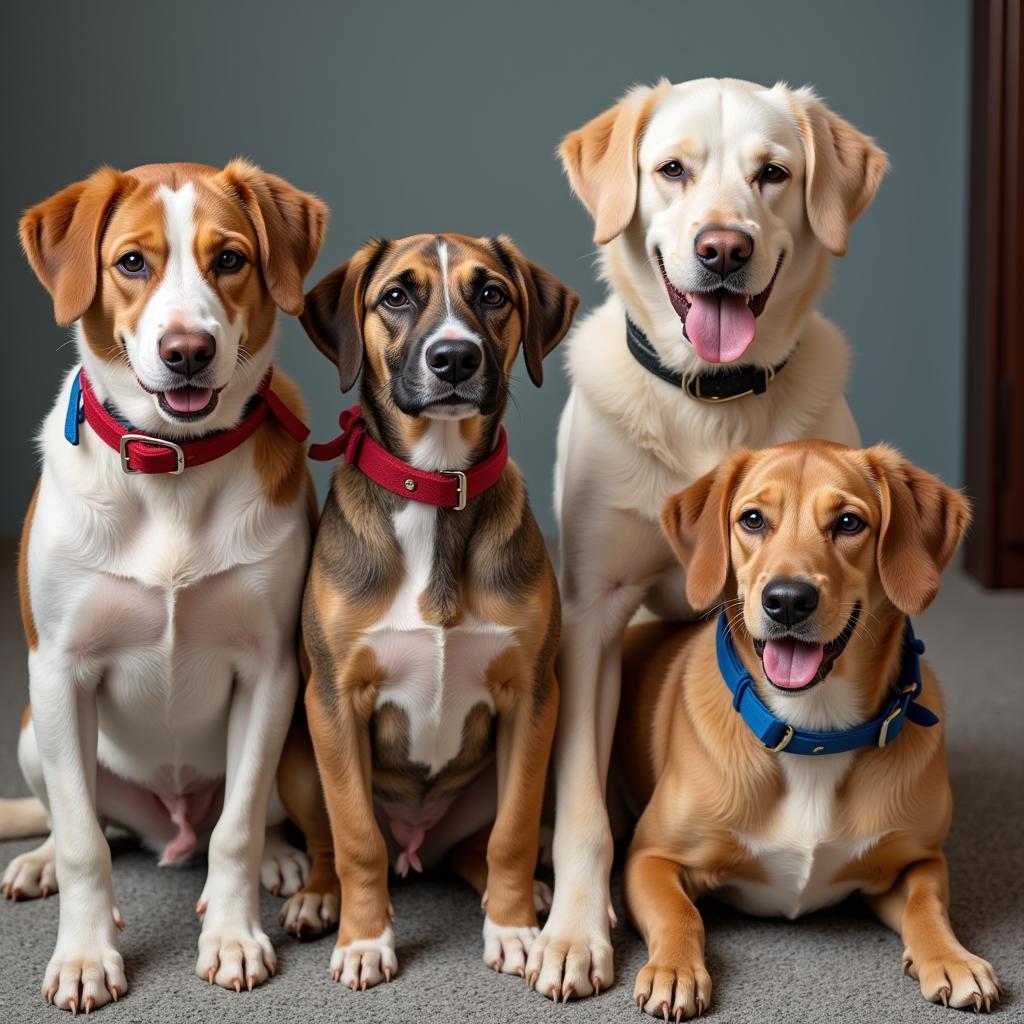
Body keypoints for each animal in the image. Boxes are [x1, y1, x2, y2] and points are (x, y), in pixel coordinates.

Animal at [528, 77, 888, 999]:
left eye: (773, 173)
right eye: (672, 170)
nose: (723, 248)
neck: (711, 403)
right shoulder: (592, 616)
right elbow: (582, 807)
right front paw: (574, 933)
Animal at [614, 440, 999, 1015]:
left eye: (848, 522)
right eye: (752, 519)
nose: (788, 600)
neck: (813, 730)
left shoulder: (921, 860)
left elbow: (926, 907)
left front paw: (953, 957)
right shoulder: (650, 857)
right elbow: (680, 912)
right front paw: (674, 968)